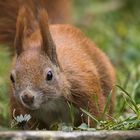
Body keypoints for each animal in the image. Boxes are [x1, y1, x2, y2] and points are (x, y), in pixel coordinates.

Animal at [0, 0, 115, 130]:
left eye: (49, 75)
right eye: (11, 78)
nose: (27, 97)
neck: (51, 102)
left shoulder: (84, 87)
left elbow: (96, 111)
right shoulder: (25, 111)